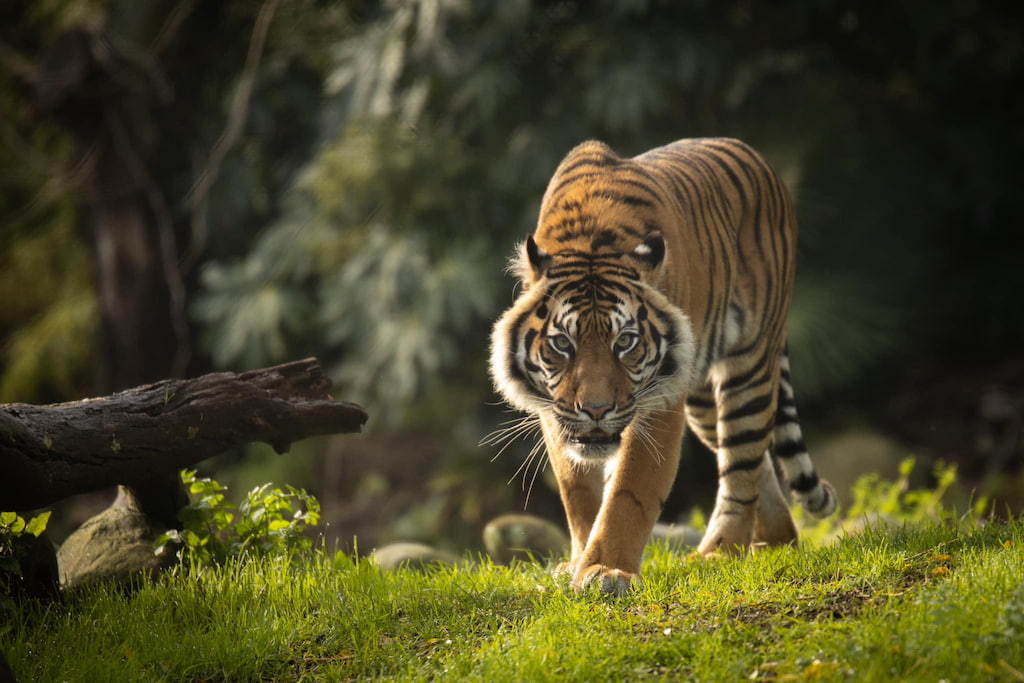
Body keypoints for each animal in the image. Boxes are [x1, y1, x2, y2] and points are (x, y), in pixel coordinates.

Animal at [488, 137, 837, 595]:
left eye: (625, 342)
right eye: (563, 343)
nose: (596, 410)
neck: (590, 240)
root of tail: (757, 157)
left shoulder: (657, 405)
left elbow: (629, 492)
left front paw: (606, 571)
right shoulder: (555, 408)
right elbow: (577, 489)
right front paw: (579, 561)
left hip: (751, 359)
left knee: (741, 461)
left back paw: (720, 552)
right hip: (703, 403)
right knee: (751, 455)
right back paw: (777, 541)